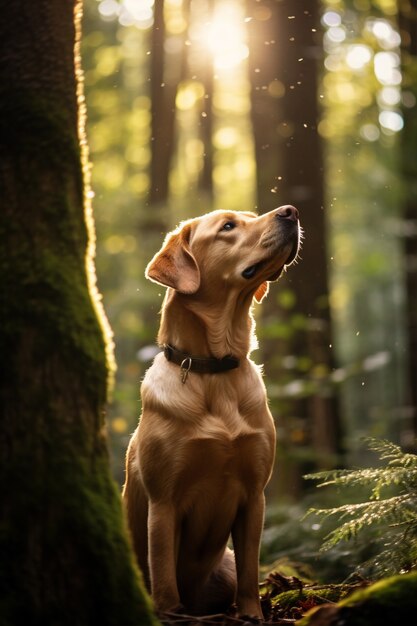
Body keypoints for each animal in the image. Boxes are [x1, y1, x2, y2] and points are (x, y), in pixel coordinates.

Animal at [122, 205, 300, 616]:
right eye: (228, 226)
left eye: (251, 216)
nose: (291, 212)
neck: (213, 370)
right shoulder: (163, 502)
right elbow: (164, 579)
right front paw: (171, 615)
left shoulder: (254, 496)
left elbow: (251, 573)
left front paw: (252, 616)